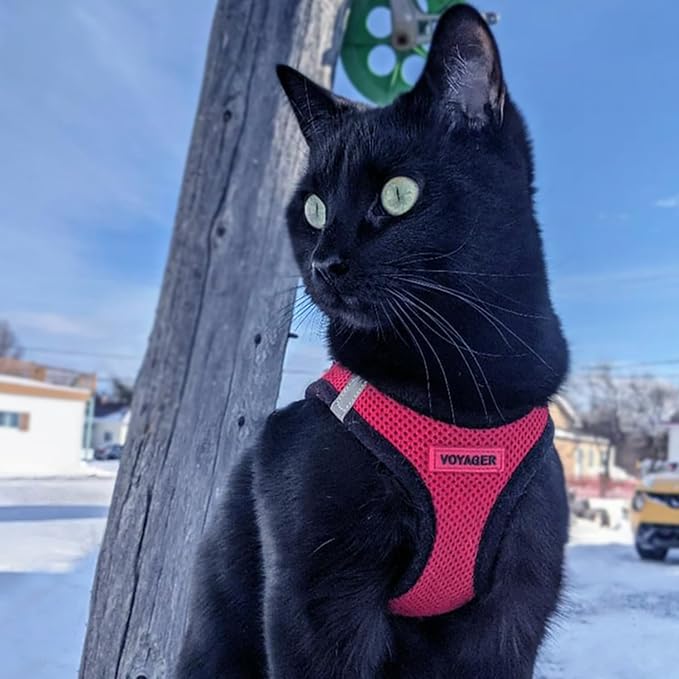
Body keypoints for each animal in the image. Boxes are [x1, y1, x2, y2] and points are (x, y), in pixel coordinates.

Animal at [178, 6, 572, 679]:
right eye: (312, 208)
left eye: (397, 194)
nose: (324, 262)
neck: (463, 396)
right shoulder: (319, 598)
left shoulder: (515, 605)